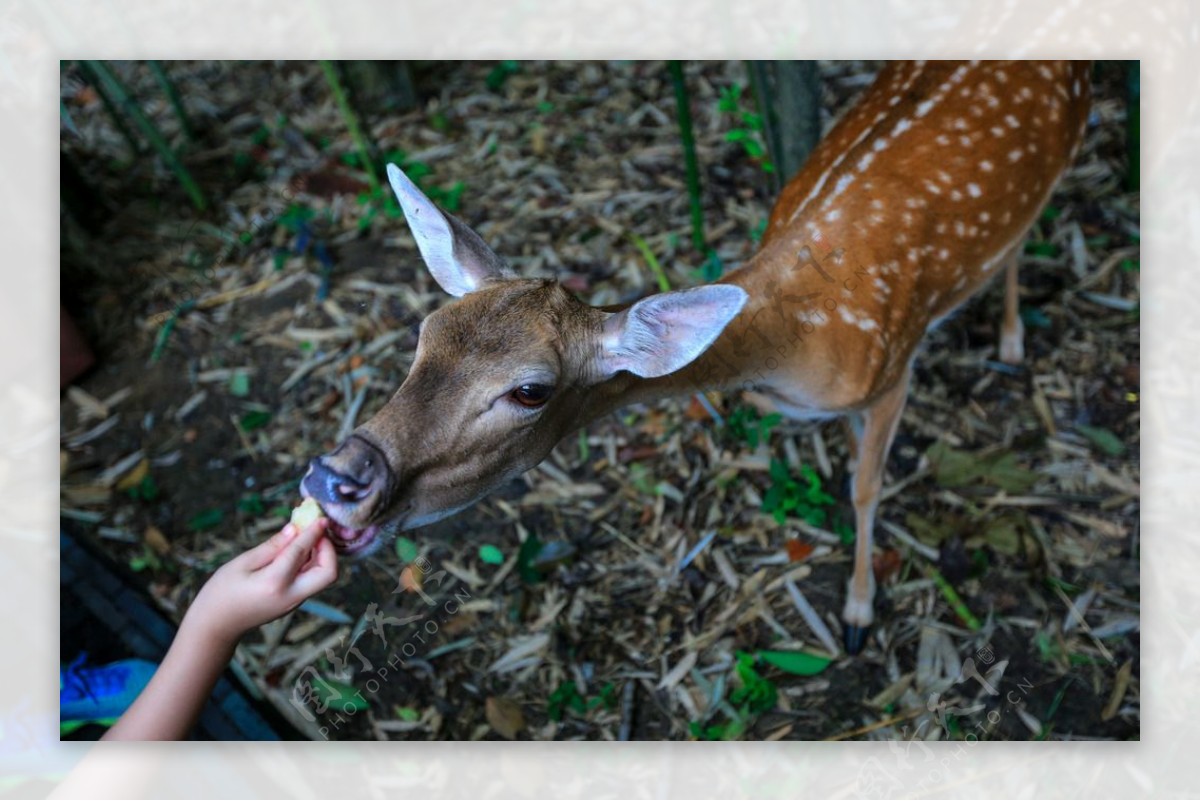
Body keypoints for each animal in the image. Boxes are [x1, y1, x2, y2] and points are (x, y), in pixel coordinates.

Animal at [304, 61, 1094, 652]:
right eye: (425, 331)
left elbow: (866, 487)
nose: (336, 476)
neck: (794, 350)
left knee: (1027, 233)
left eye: (531, 390)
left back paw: (1013, 339)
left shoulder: (892, 369)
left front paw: (859, 612)